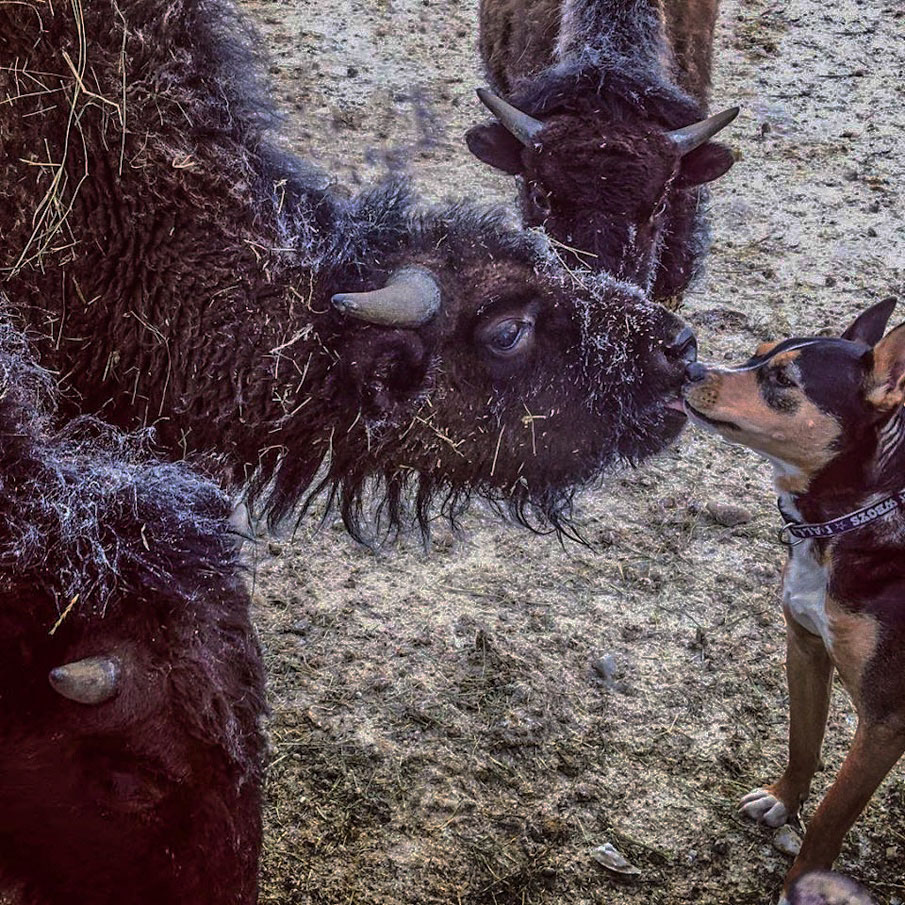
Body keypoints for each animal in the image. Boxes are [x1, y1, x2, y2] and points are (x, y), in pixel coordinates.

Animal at [684, 300, 904, 900]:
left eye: (783, 380)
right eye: (757, 354)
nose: (686, 365)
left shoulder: (885, 721)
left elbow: (832, 815)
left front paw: (800, 885)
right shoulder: (805, 647)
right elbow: (802, 741)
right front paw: (783, 800)